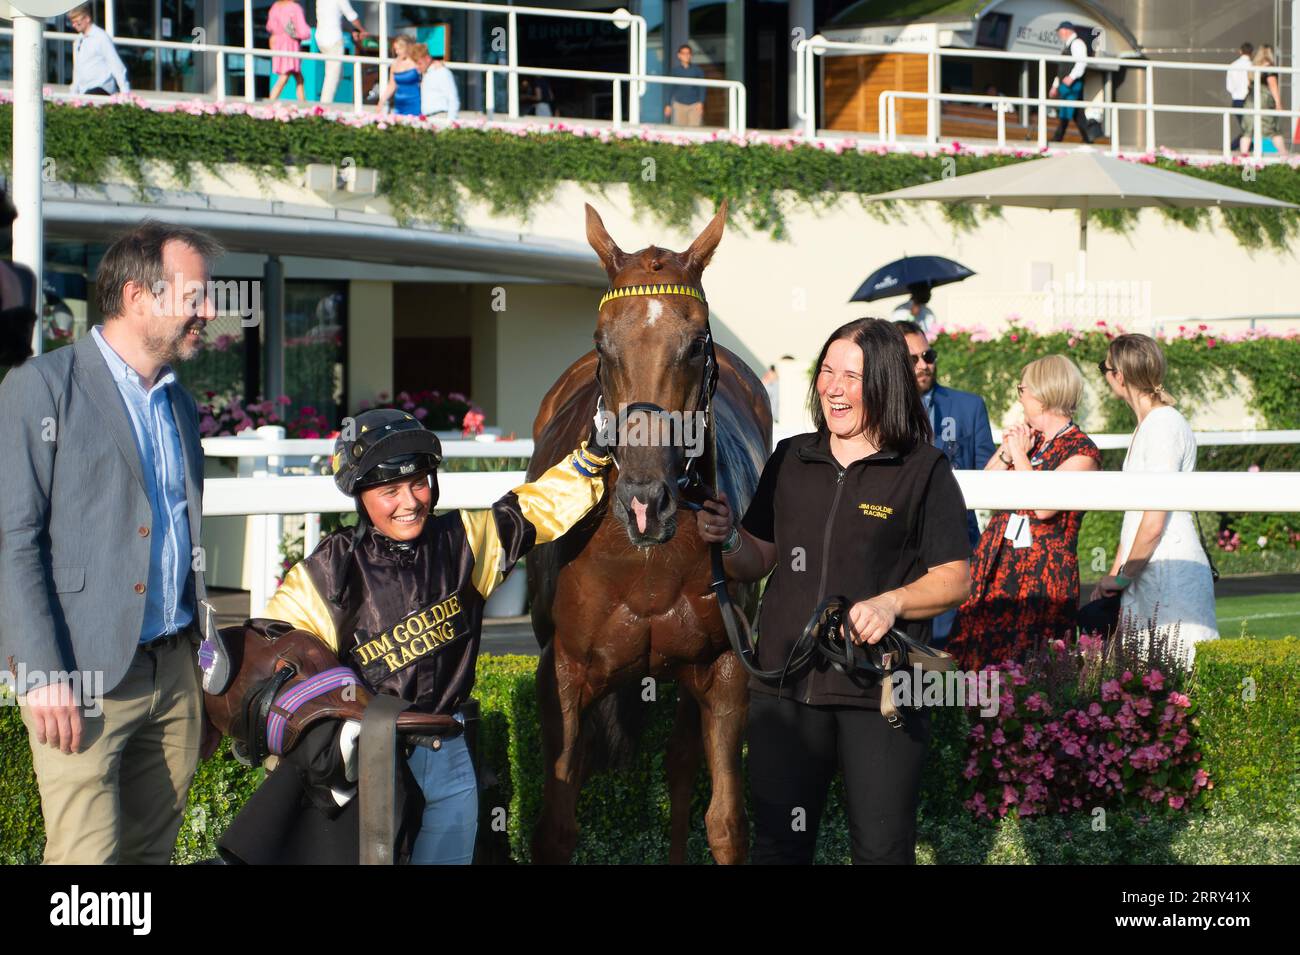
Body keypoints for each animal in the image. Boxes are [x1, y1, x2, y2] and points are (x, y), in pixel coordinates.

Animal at [527, 203, 769, 867]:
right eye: (601, 342)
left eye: (697, 342)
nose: (644, 502)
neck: (642, 563)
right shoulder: (563, 672)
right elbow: (557, 823)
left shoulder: (725, 668)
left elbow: (725, 822)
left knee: (682, 767)